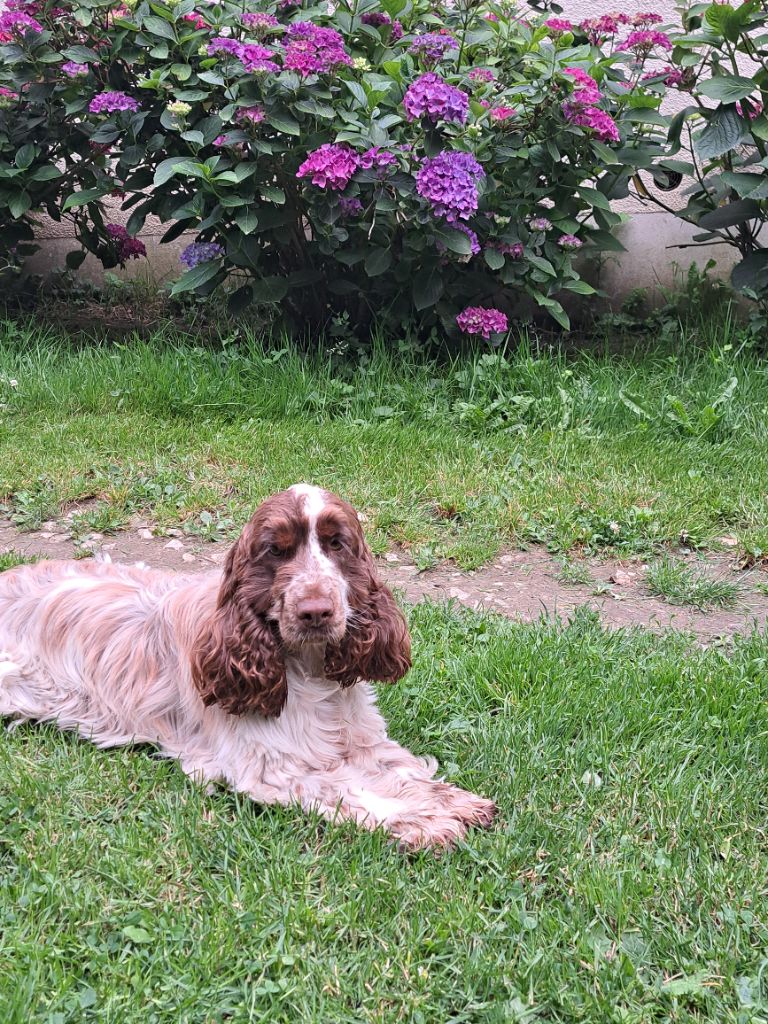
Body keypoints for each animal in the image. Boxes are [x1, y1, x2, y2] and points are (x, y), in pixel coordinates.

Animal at [0, 485, 499, 847]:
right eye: (275, 551)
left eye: (337, 544)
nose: (315, 612)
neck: (307, 670)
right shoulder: (270, 765)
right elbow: (349, 788)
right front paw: (426, 822)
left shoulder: (361, 735)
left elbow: (400, 768)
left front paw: (454, 801)